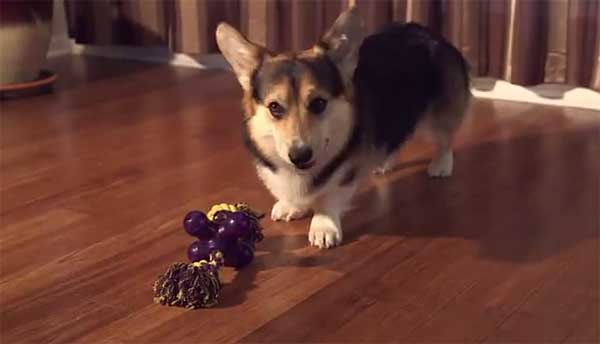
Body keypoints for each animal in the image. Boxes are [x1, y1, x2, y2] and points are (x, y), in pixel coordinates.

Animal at [213, 7, 472, 247]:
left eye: (319, 103)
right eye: (274, 107)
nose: (300, 155)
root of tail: (427, 31)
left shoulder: (346, 172)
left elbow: (329, 197)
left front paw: (323, 225)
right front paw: (291, 206)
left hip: (436, 119)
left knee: (444, 139)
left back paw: (441, 165)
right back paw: (383, 163)